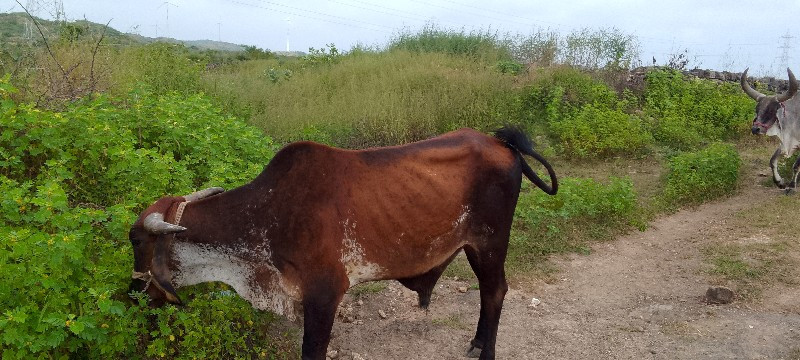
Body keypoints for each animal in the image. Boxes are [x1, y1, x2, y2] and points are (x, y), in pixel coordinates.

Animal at [130, 126, 556, 358]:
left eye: (135, 241)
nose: (132, 293)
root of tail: (503, 144)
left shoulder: (325, 293)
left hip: (490, 242)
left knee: (495, 291)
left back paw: (487, 351)